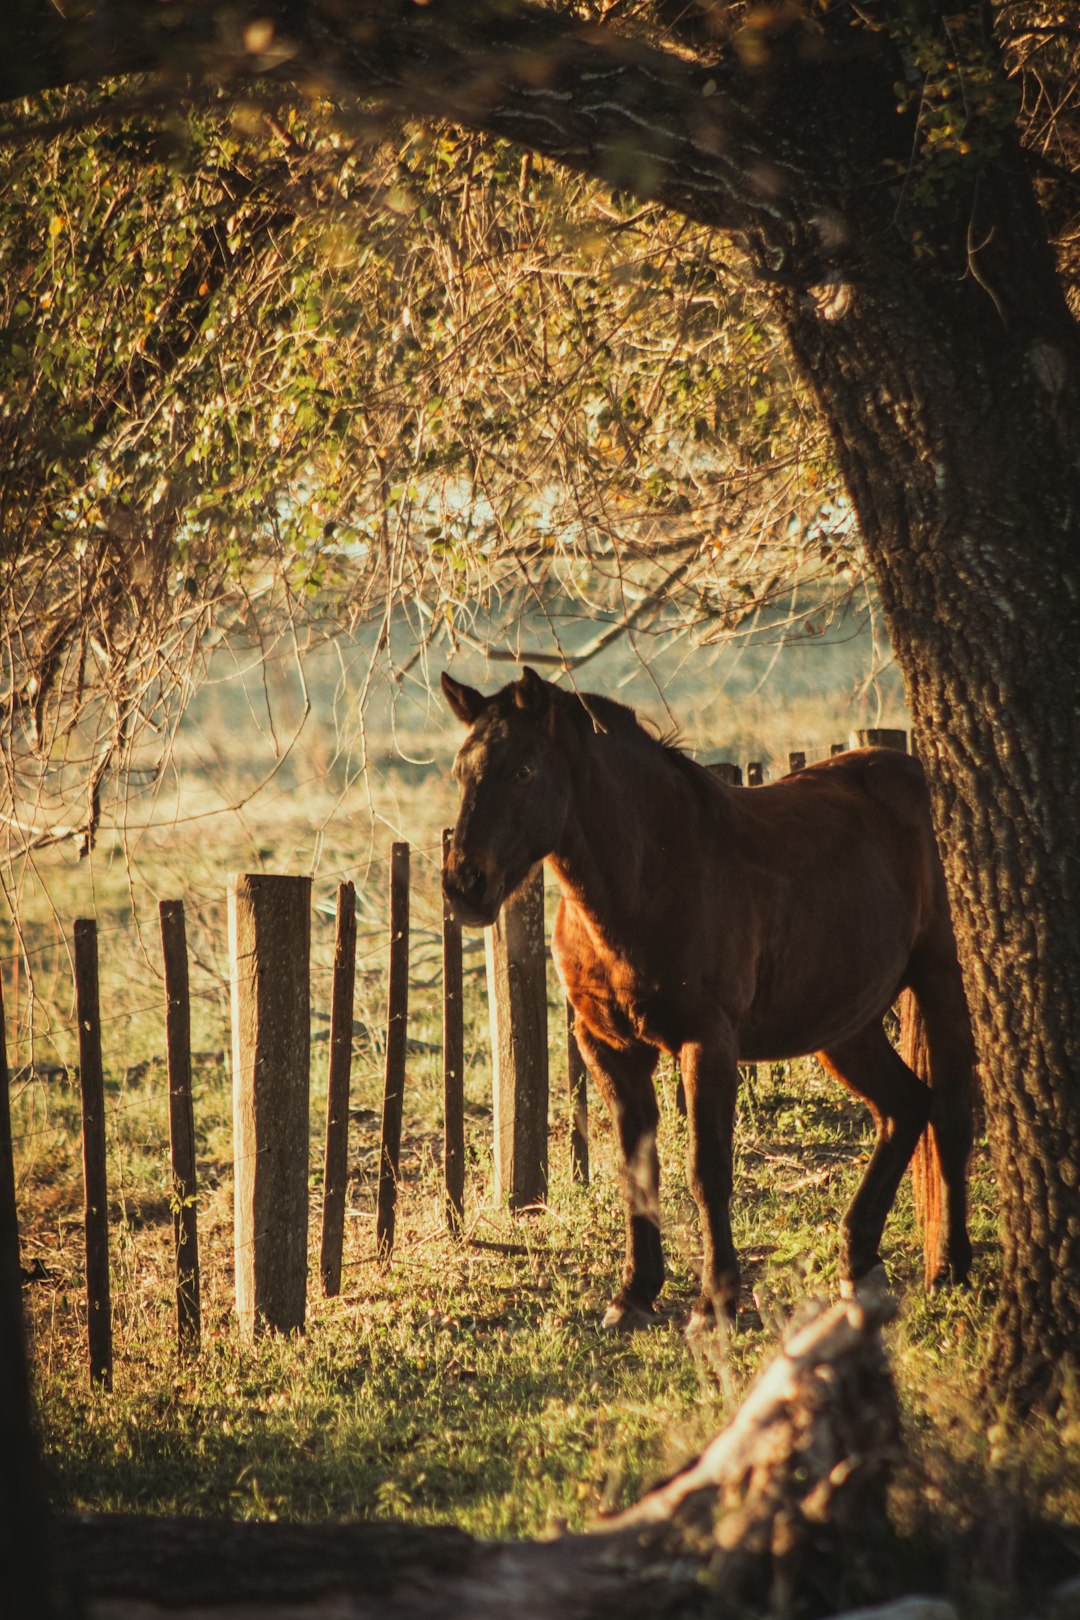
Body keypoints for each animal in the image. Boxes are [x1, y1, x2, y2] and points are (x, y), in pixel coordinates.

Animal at [443, 664, 977, 1321]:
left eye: (522, 770)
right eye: (460, 772)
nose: (464, 886)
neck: (651, 875)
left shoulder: (707, 1044)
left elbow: (708, 1169)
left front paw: (715, 1298)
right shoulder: (608, 1048)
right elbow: (636, 1171)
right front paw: (635, 1293)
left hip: (941, 980)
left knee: (949, 1113)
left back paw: (951, 1266)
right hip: (844, 1025)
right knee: (903, 1107)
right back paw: (859, 1263)